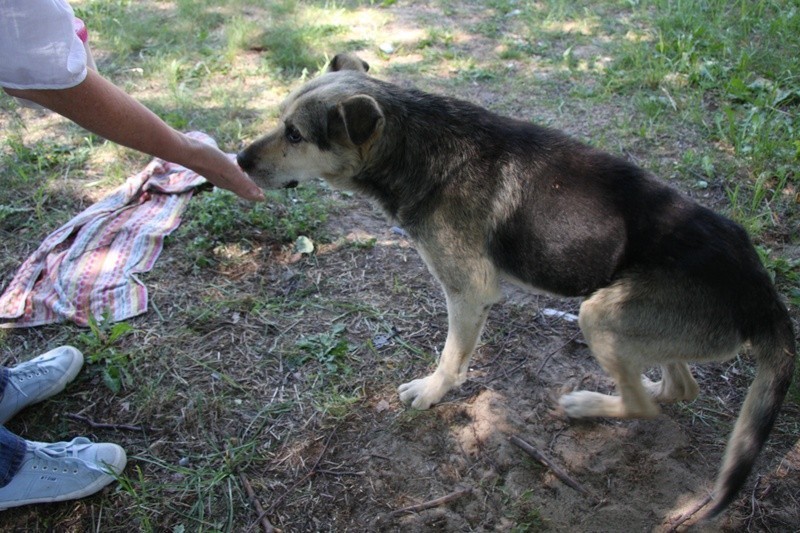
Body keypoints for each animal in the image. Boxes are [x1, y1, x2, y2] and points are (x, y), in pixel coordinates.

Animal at [238, 52, 792, 516]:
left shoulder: (468, 294)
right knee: (676, 388)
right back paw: (645, 384)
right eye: (281, 121)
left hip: (598, 314)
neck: (413, 144)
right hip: (640, 328)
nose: (239, 160)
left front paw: (432, 392)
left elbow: (450, 358)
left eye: (294, 134)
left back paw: (588, 404)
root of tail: (764, 296)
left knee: (644, 405)